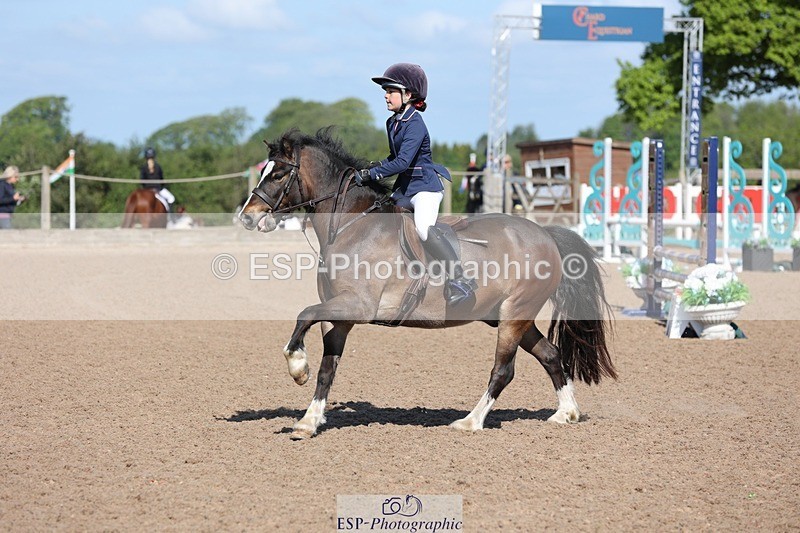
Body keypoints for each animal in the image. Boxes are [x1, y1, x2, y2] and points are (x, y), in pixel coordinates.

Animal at [238, 128, 616, 440]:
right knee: (550, 355)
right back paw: (566, 413)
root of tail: (545, 234)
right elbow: (326, 369)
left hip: (515, 315)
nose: (247, 217)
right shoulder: (340, 315)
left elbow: (304, 315)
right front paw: (309, 421)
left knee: (503, 370)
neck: (350, 226)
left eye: (279, 173)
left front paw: (297, 367)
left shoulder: (357, 306)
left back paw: (470, 422)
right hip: (510, 317)